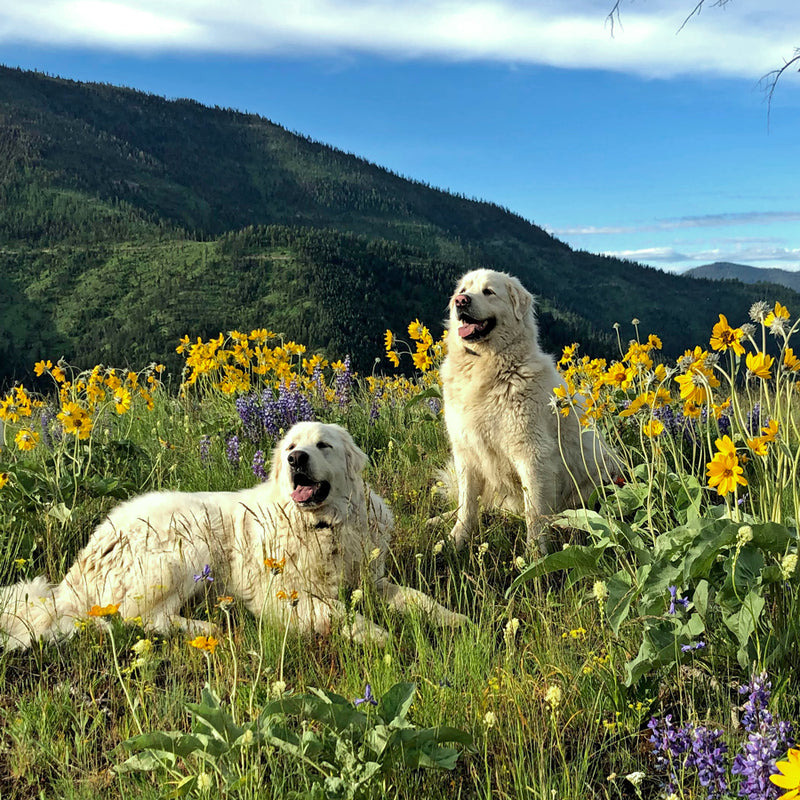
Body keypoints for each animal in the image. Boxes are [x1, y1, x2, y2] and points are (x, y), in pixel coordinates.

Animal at [0, 422, 466, 648]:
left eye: (323, 446)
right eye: (292, 446)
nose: (296, 459)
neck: (323, 526)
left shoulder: (373, 581)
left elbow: (417, 599)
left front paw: (453, 619)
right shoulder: (283, 596)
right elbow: (336, 613)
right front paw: (377, 634)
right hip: (189, 544)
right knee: (138, 619)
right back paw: (206, 626)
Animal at [438, 272, 620, 552]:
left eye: (489, 292)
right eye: (463, 290)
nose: (461, 301)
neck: (487, 370)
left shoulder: (532, 455)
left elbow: (533, 513)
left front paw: (535, 555)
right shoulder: (466, 452)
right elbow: (466, 505)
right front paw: (455, 540)